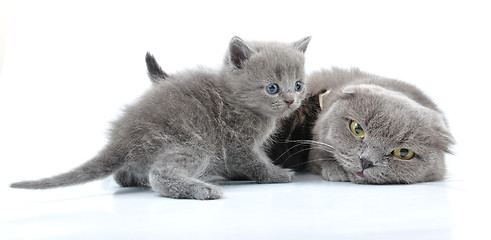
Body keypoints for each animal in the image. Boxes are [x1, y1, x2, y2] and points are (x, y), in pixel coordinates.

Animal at [10, 35, 312, 200]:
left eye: (298, 85)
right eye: (272, 88)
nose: (290, 100)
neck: (236, 98)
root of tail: (122, 136)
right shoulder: (236, 141)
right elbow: (254, 163)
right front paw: (277, 175)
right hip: (192, 144)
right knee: (158, 175)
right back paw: (202, 189)